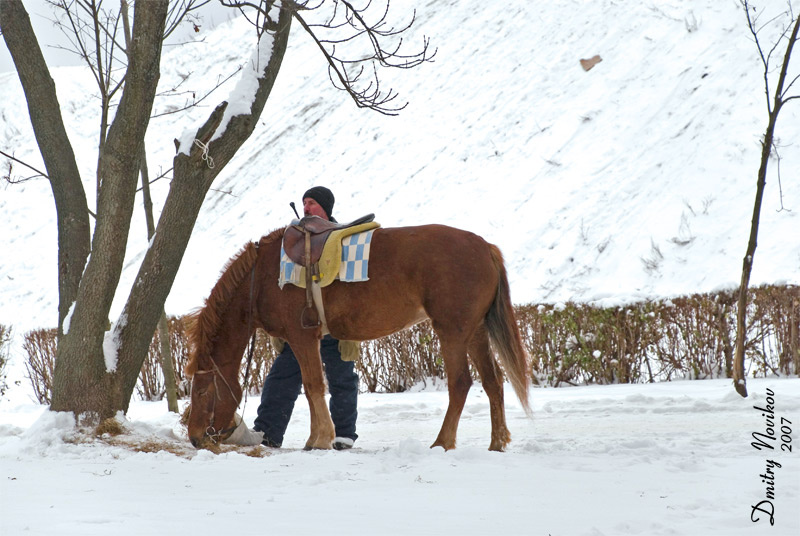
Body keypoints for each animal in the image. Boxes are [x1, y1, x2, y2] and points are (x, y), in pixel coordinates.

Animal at [184, 223, 531, 452]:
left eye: (202, 391)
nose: (195, 436)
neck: (263, 277)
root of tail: (485, 248)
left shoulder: (302, 336)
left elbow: (313, 385)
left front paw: (320, 438)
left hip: (453, 331)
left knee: (460, 383)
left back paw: (443, 442)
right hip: (476, 331)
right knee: (493, 382)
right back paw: (497, 442)